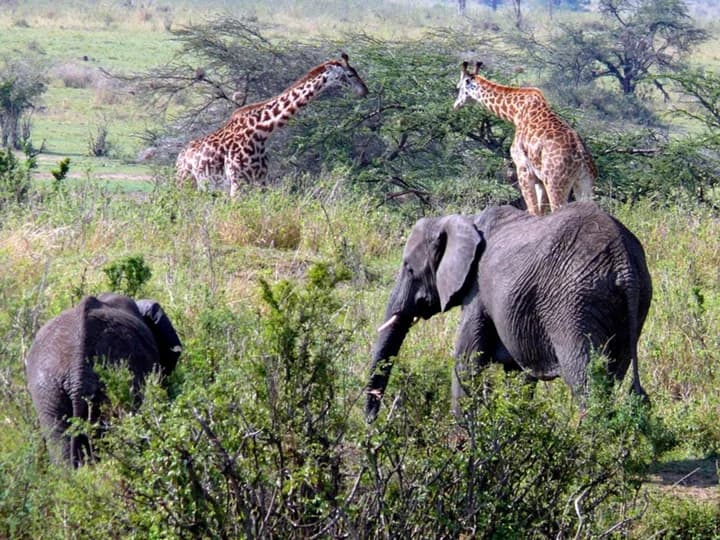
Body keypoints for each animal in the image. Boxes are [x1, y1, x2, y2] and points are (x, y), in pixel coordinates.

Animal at [176, 53, 368, 197]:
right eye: (350, 74)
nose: (364, 91)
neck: (261, 131)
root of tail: (180, 156)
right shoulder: (238, 181)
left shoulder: (261, 180)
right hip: (185, 182)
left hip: (204, 187)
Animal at [365, 202, 652, 422]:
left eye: (409, 268)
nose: (371, 422)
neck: (464, 220)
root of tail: (623, 260)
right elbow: (516, 374)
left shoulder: (478, 290)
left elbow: (467, 361)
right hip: (633, 304)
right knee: (613, 374)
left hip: (575, 302)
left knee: (585, 378)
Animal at [453, 61, 597, 215]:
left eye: (458, 87)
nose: (455, 105)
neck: (515, 112)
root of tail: (581, 158)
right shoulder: (540, 179)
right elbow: (540, 212)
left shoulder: (523, 169)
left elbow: (533, 211)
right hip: (584, 183)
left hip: (555, 183)